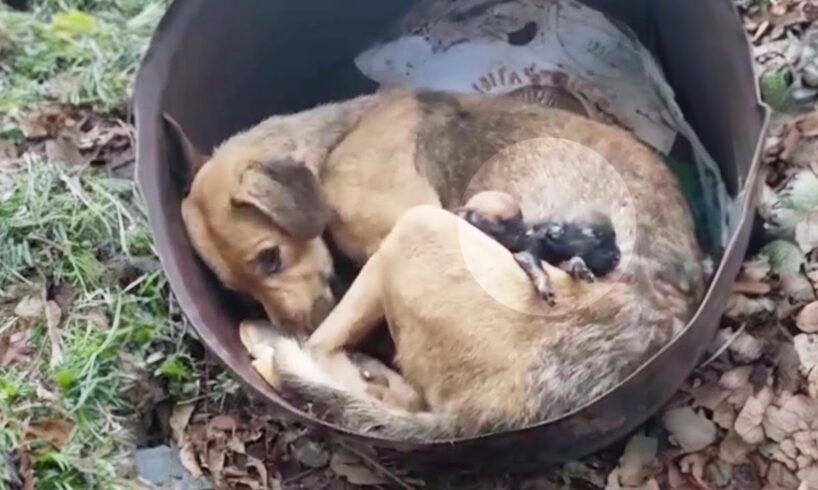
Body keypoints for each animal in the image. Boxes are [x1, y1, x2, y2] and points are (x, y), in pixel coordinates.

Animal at [175, 90, 704, 442]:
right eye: (239, 288)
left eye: (271, 257)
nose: (290, 325)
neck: (335, 140)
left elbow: (323, 339)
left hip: (417, 227)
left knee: (323, 353)